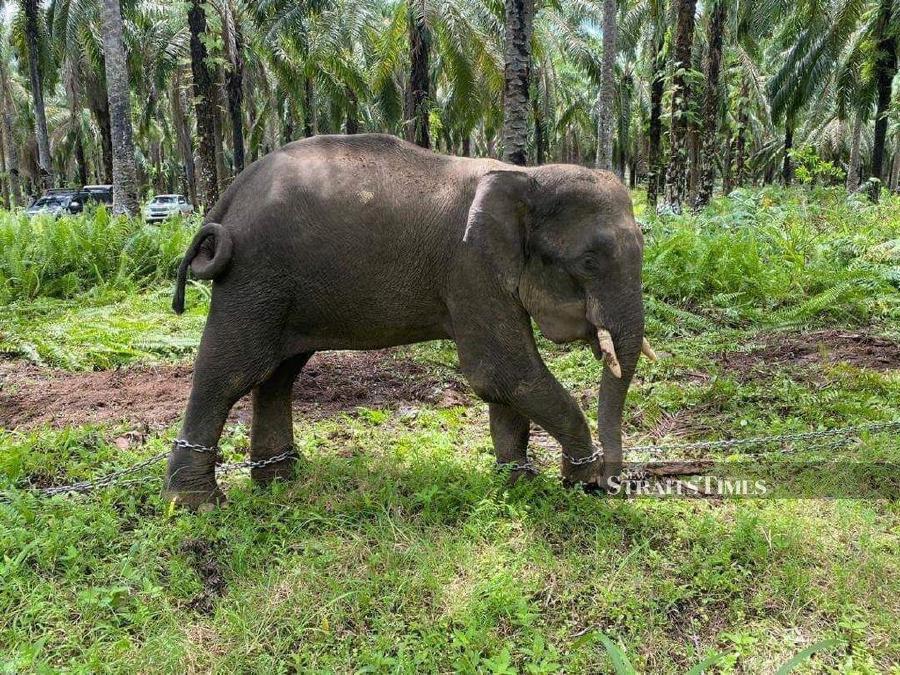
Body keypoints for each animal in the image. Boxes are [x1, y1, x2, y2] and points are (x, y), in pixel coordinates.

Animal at [163, 135, 652, 510]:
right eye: (589, 261)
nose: (614, 483)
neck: (525, 175)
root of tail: (230, 194)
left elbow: (506, 382)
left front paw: (519, 485)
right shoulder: (470, 267)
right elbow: (501, 372)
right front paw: (579, 480)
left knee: (279, 374)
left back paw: (280, 482)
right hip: (253, 275)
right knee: (232, 371)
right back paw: (198, 505)